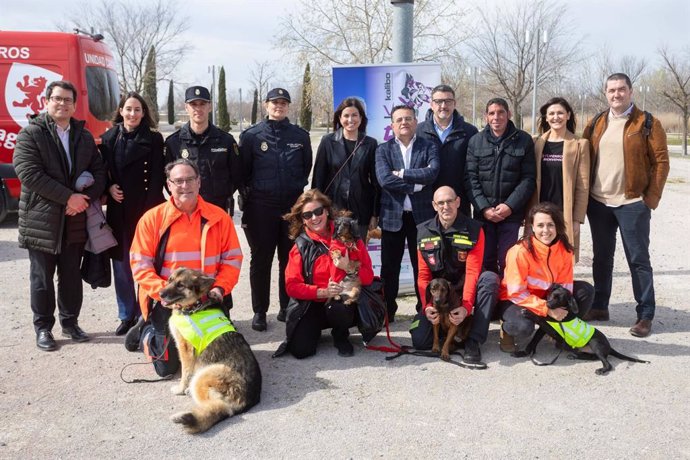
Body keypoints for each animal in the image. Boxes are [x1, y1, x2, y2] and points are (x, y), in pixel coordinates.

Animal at [159, 268, 260, 434]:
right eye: (170, 280)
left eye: (180, 285)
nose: (160, 294)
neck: (195, 305)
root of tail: (249, 399)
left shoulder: (185, 351)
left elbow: (185, 374)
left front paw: (180, 389)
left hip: (203, 376)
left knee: (219, 408)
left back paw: (184, 415)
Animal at [512, 282, 648, 376]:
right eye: (551, 295)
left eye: (559, 299)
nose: (548, 304)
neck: (565, 311)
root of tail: (609, 346)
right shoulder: (547, 329)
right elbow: (536, 333)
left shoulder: (553, 329)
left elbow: (541, 318)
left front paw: (528, 312)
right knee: (592, 357)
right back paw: (575, 356)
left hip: (595, 343)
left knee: (607, 363)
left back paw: (602, 369)